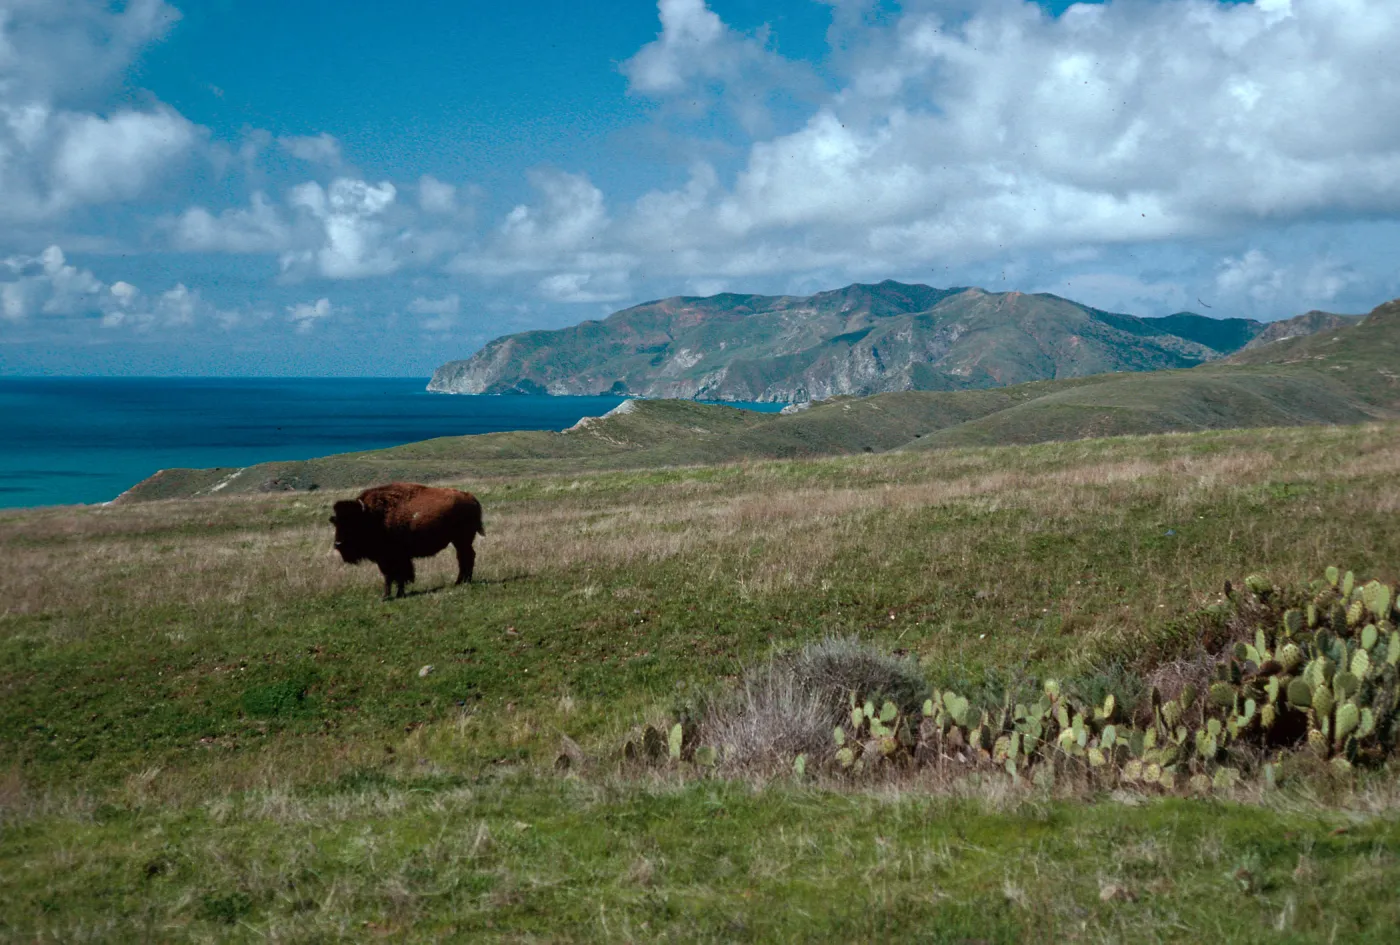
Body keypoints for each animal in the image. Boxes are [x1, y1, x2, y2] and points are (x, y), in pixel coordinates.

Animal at [330, 482, 484, 599]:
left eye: (353, 522)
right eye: (336, 522)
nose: (338, 544)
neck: (372, 516)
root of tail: (471, 498)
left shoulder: (395, 557)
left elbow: (398, 575)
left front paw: (394, 595)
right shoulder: (385, 559)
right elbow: (390, 576)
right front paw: (388, 596)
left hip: (462, 540)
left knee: (467, 557)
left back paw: (463, 581)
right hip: (459, 541)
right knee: (464, 557)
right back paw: (461, 581)